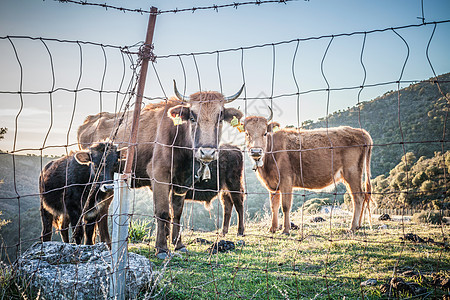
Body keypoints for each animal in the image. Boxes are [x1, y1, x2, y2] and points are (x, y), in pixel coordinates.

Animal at [78, 81, 244, 258]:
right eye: (193, 117)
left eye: (220, 118)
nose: (207, 152)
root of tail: (90, 120)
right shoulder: (159, 176)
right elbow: (163, 211)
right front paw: (162, 249)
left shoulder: (182, 181)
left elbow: (176, 212)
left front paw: (178, 245)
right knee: (98, 212)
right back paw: (105, 244)